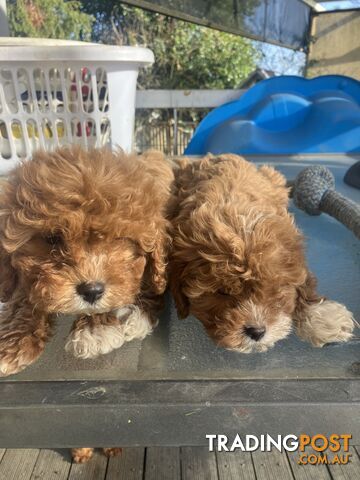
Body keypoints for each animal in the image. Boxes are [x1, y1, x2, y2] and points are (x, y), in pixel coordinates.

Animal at [0, 146, 174, 376]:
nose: (91, 291)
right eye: (52, 238)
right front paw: (12, 343)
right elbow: (23, 296)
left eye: (118, 239)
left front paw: (96, 329)